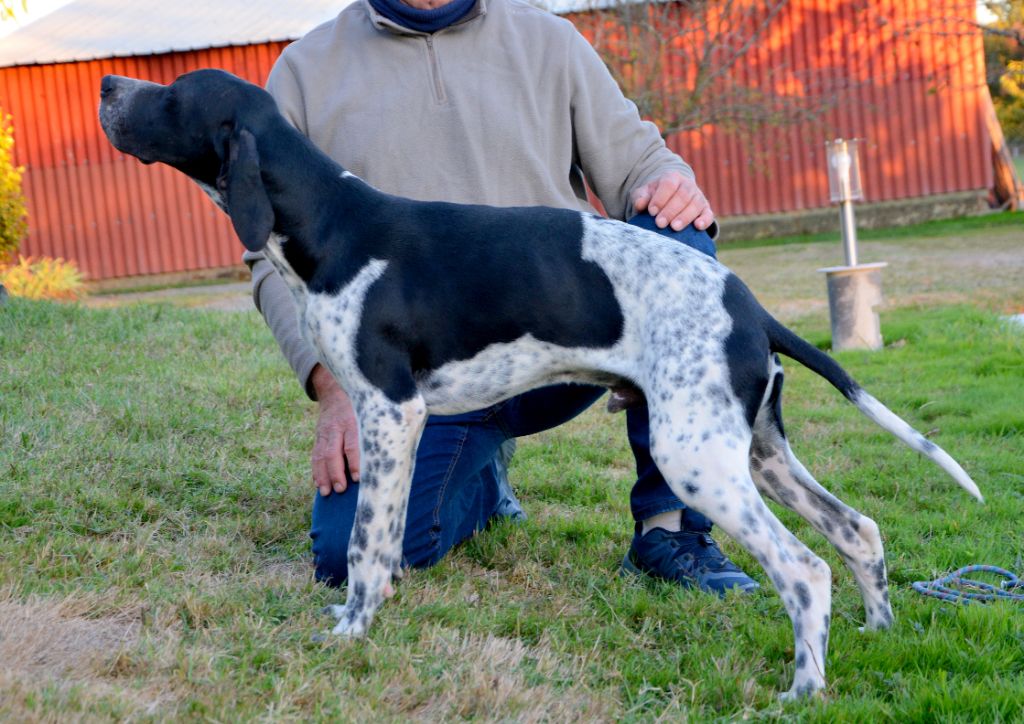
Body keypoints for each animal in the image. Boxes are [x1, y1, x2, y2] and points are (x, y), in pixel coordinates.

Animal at [97, 70, 983, 700]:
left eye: (172, 93)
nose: (107, 87)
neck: (332, 224)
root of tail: (750, 303)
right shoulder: (390, 421)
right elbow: (380, 543)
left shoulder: (391, 413)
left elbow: (366, 545)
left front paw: (353, 632)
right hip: (758, 454)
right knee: (859, 532)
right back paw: (878, 635)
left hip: (696, 456)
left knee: (803, 570)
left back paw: (802, 690)